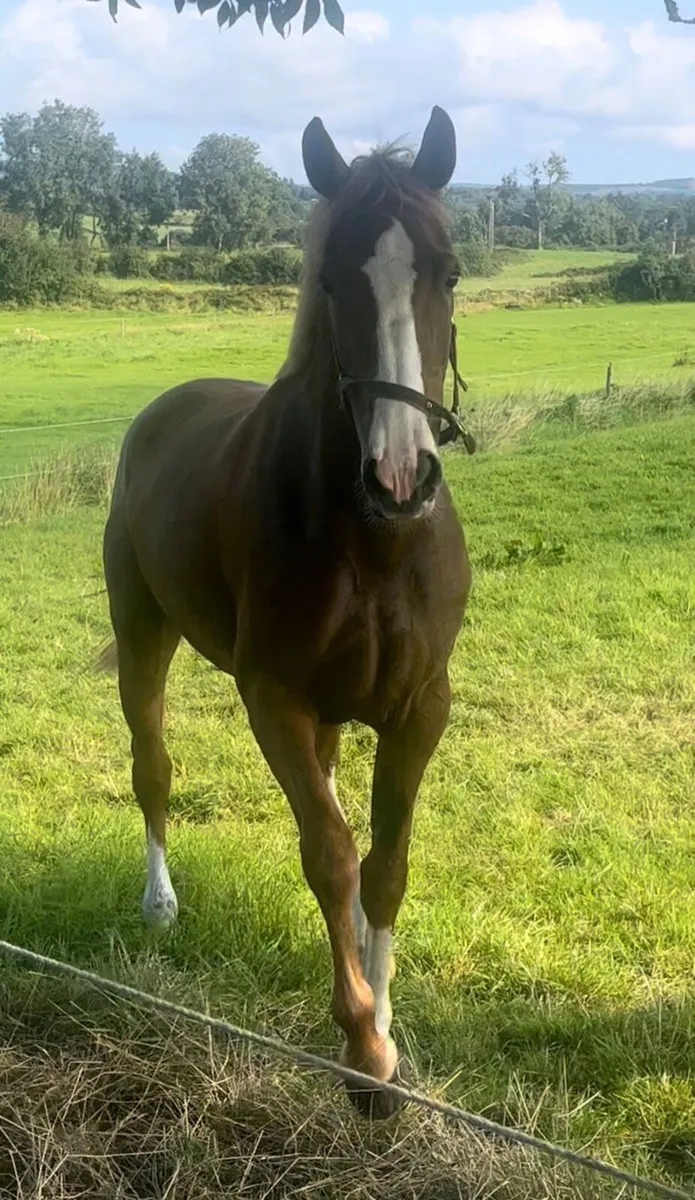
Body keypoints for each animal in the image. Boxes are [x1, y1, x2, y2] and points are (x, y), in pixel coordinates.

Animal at [101, 106, 472, 1116]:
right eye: (330, 277)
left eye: (447, 270)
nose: (399, 477)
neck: (373, 546)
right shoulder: (275, 701)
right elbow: (331, 854)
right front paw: (363, 1052)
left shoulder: (419, 706)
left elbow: (385, 862)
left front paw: (386, 1016)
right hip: (141, 635)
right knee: (153, 768)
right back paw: (158, 904)